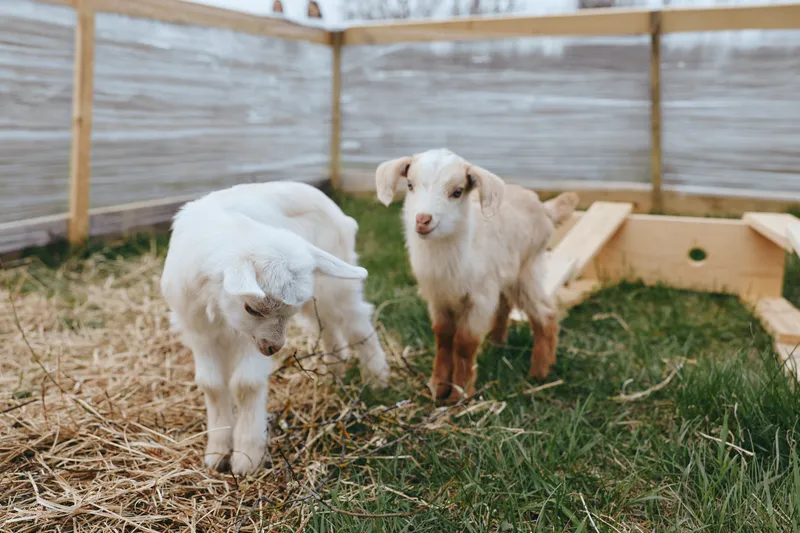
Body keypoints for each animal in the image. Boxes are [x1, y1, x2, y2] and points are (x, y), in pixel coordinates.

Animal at [161, 182, 389, 474]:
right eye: (252, 308)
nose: (274, 347)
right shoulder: (199, 332)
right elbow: (211, 385)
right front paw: (216, 453)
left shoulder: (248, 339)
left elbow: (246, 385)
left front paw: (246, 458)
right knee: (326, 326)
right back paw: (333, 372)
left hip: (337, 285)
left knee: (357, 321)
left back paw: (377, 377)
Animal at [376, 149, 577, 403]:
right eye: (410, 184)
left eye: (457, 191)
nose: (422, 220)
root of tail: (544, 207)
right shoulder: (438, 297)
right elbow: (443, 338)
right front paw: (438, 387)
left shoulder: (478, 299)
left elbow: (464, 343)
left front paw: (459, 394)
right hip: (503, 275)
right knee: (504, 305)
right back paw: (496, 344)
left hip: (527, 269)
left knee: (546, 313)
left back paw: (539, 373)